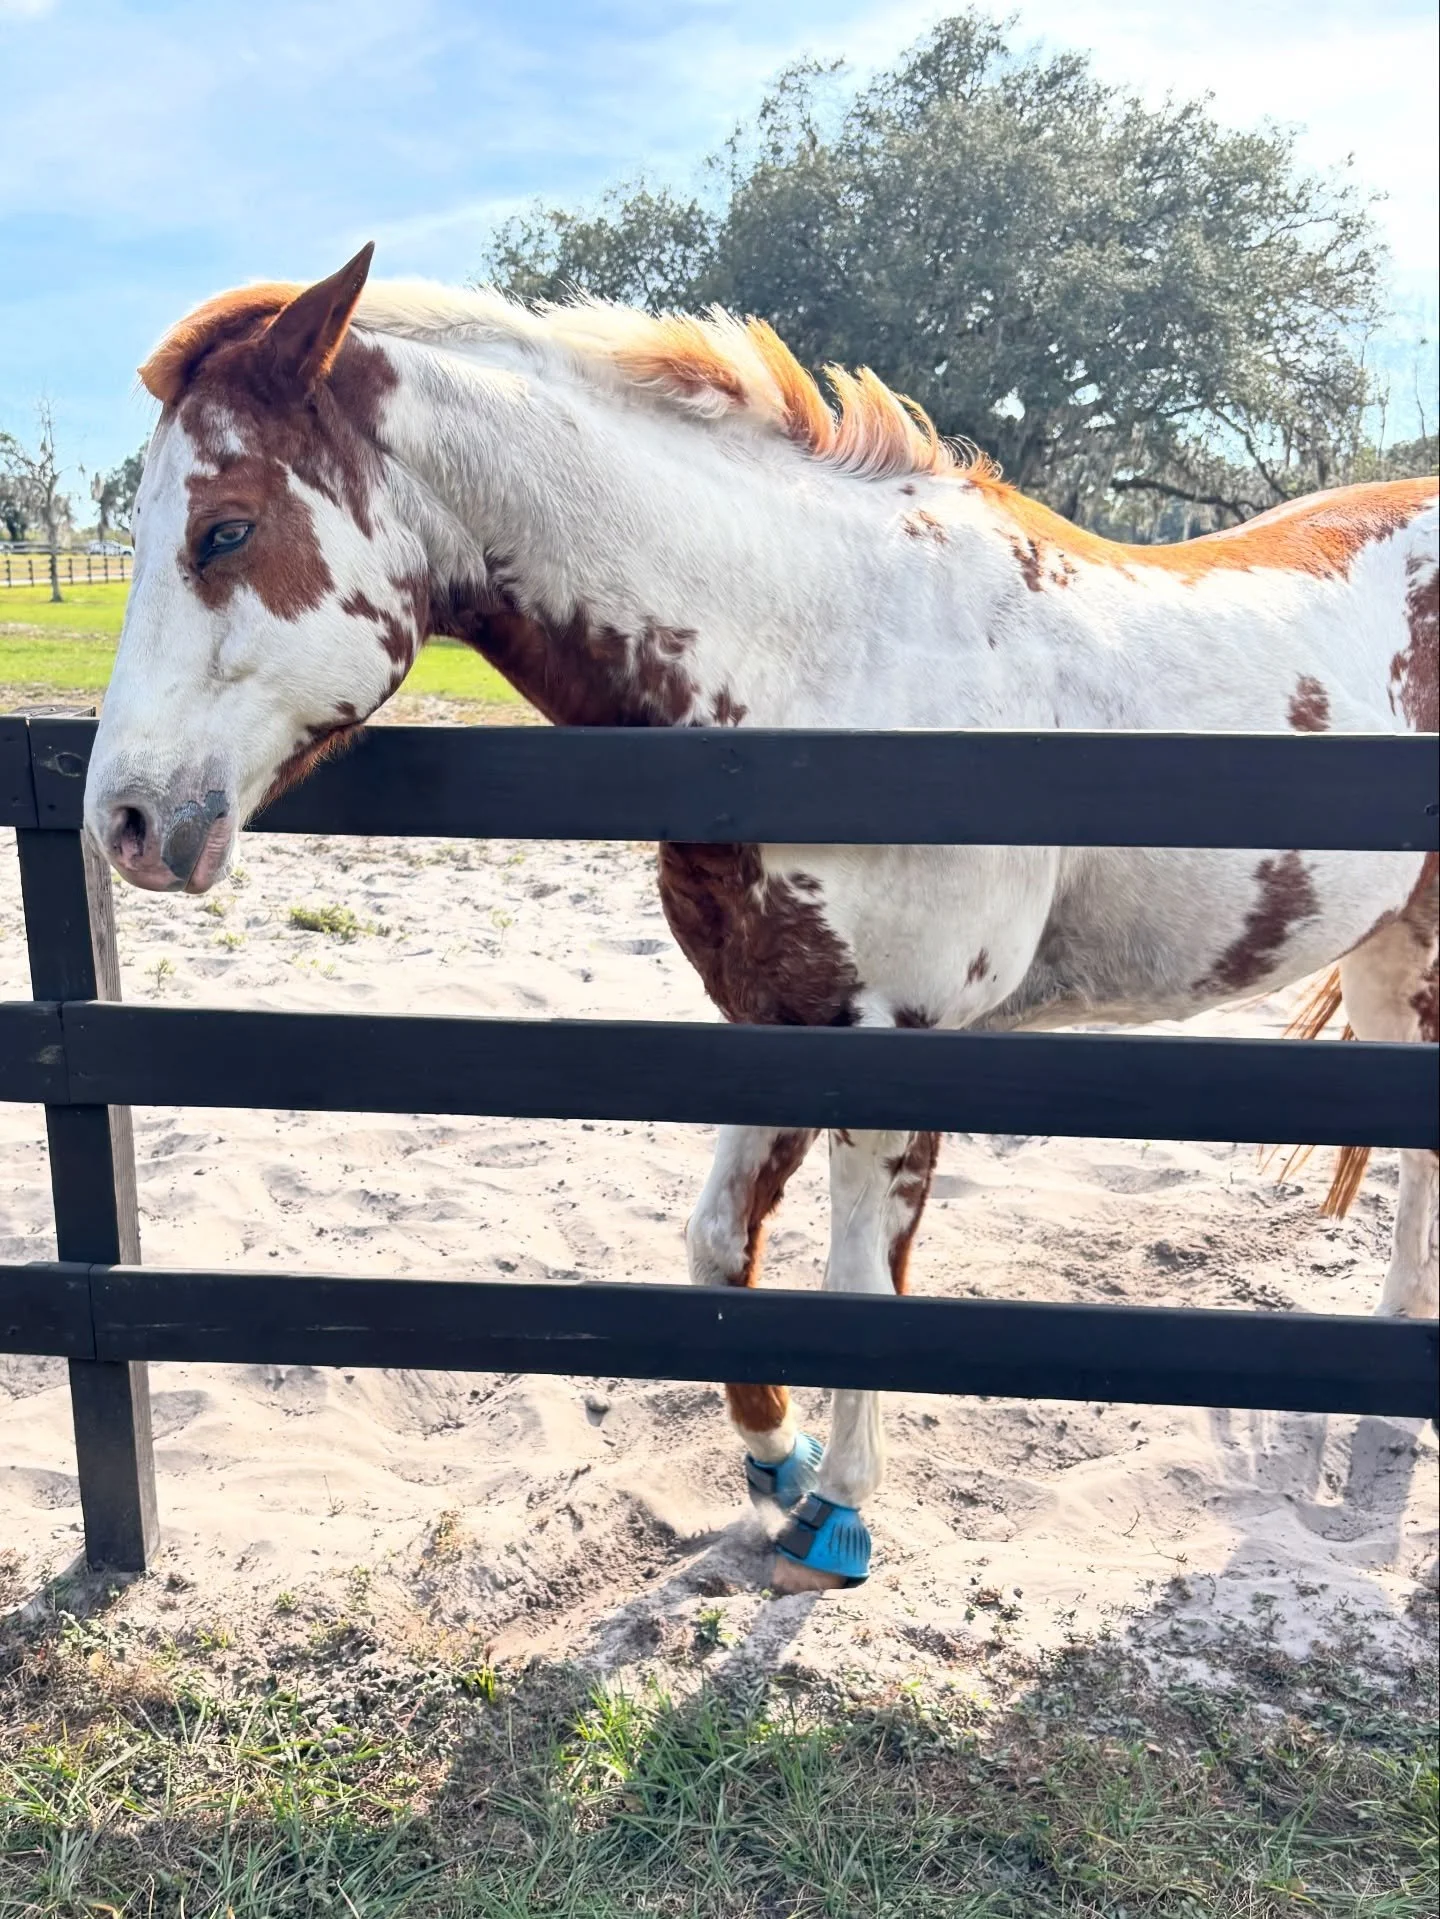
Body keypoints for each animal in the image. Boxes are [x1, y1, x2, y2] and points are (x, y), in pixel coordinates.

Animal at [84, 244, 1438, 1593]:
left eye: (225, 528)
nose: (126, 821)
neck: (829, 673)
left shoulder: (898, 1041)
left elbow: (854, 1288)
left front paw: (839, 1510)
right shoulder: (771, 1014)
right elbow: (715, 1248)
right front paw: (775, 1461)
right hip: (1387, 958)